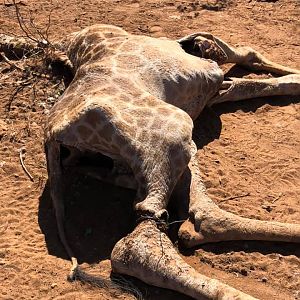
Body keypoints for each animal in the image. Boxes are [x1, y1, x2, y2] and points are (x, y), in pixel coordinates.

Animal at [1, 24, 298, 298]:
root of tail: (53, 135)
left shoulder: (214, 87)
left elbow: (247, 80)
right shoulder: (210, 71)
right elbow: (248, 57)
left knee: (193, 215)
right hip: (175, 127)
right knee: (140, 239)